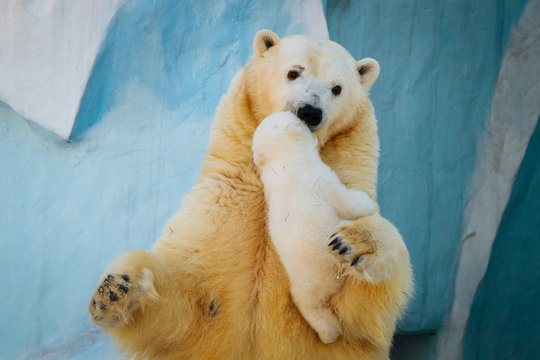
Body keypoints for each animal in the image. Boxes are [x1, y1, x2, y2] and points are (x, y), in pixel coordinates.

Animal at [88, 31, 412, 360]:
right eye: (293, 72)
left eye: (337, 88)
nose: (310, 111)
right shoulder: (224, 203)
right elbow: (184, 298)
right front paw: (113, 292)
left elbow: (358, 314)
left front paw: (355, 241)